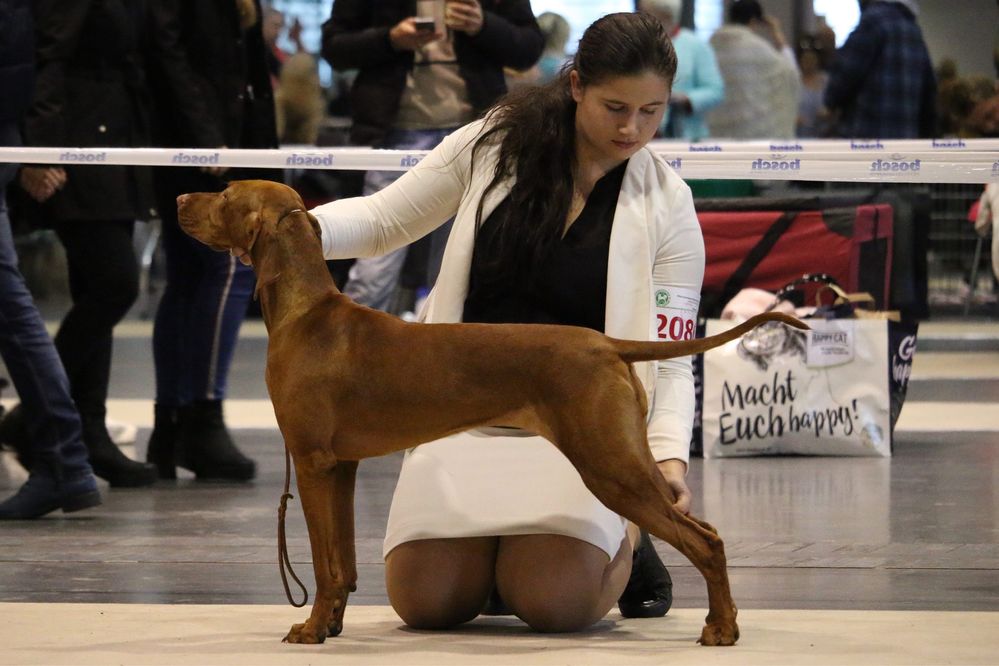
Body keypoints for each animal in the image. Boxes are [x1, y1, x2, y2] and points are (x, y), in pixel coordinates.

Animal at [178, 179, 804, 644]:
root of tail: (607, 343)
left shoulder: (311, 463)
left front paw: (309, 630)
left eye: (225, 194)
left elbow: (322, 561)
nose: (180, 198)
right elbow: (345, 564)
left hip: (609, 465)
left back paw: (721, 629)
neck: (305, 312)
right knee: (707, 531)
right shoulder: (342, 467)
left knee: (704, 540)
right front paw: (330, 624)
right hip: (625, 455)